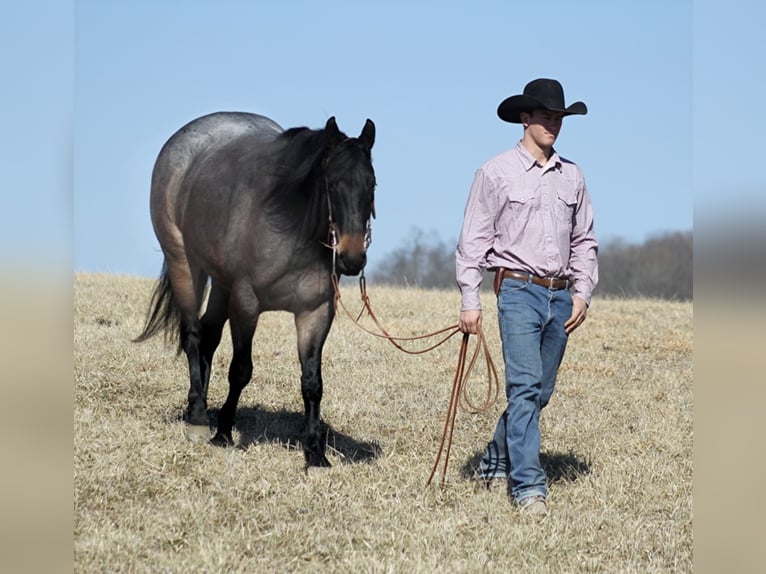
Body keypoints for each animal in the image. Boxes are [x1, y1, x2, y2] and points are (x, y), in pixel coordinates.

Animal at [139, 111, 380, 468]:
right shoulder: (246, 304)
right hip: (184, 262)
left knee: (208, 337)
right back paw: (198, 418)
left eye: (371, 184)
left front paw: (315, 453)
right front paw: (223, 433)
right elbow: (240, 370)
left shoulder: (315, 312)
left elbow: (312, 383)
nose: (352, 258)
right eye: (332, 183)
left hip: (221, 284)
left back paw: (199, 407)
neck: (291, 230)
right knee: (193, 335)